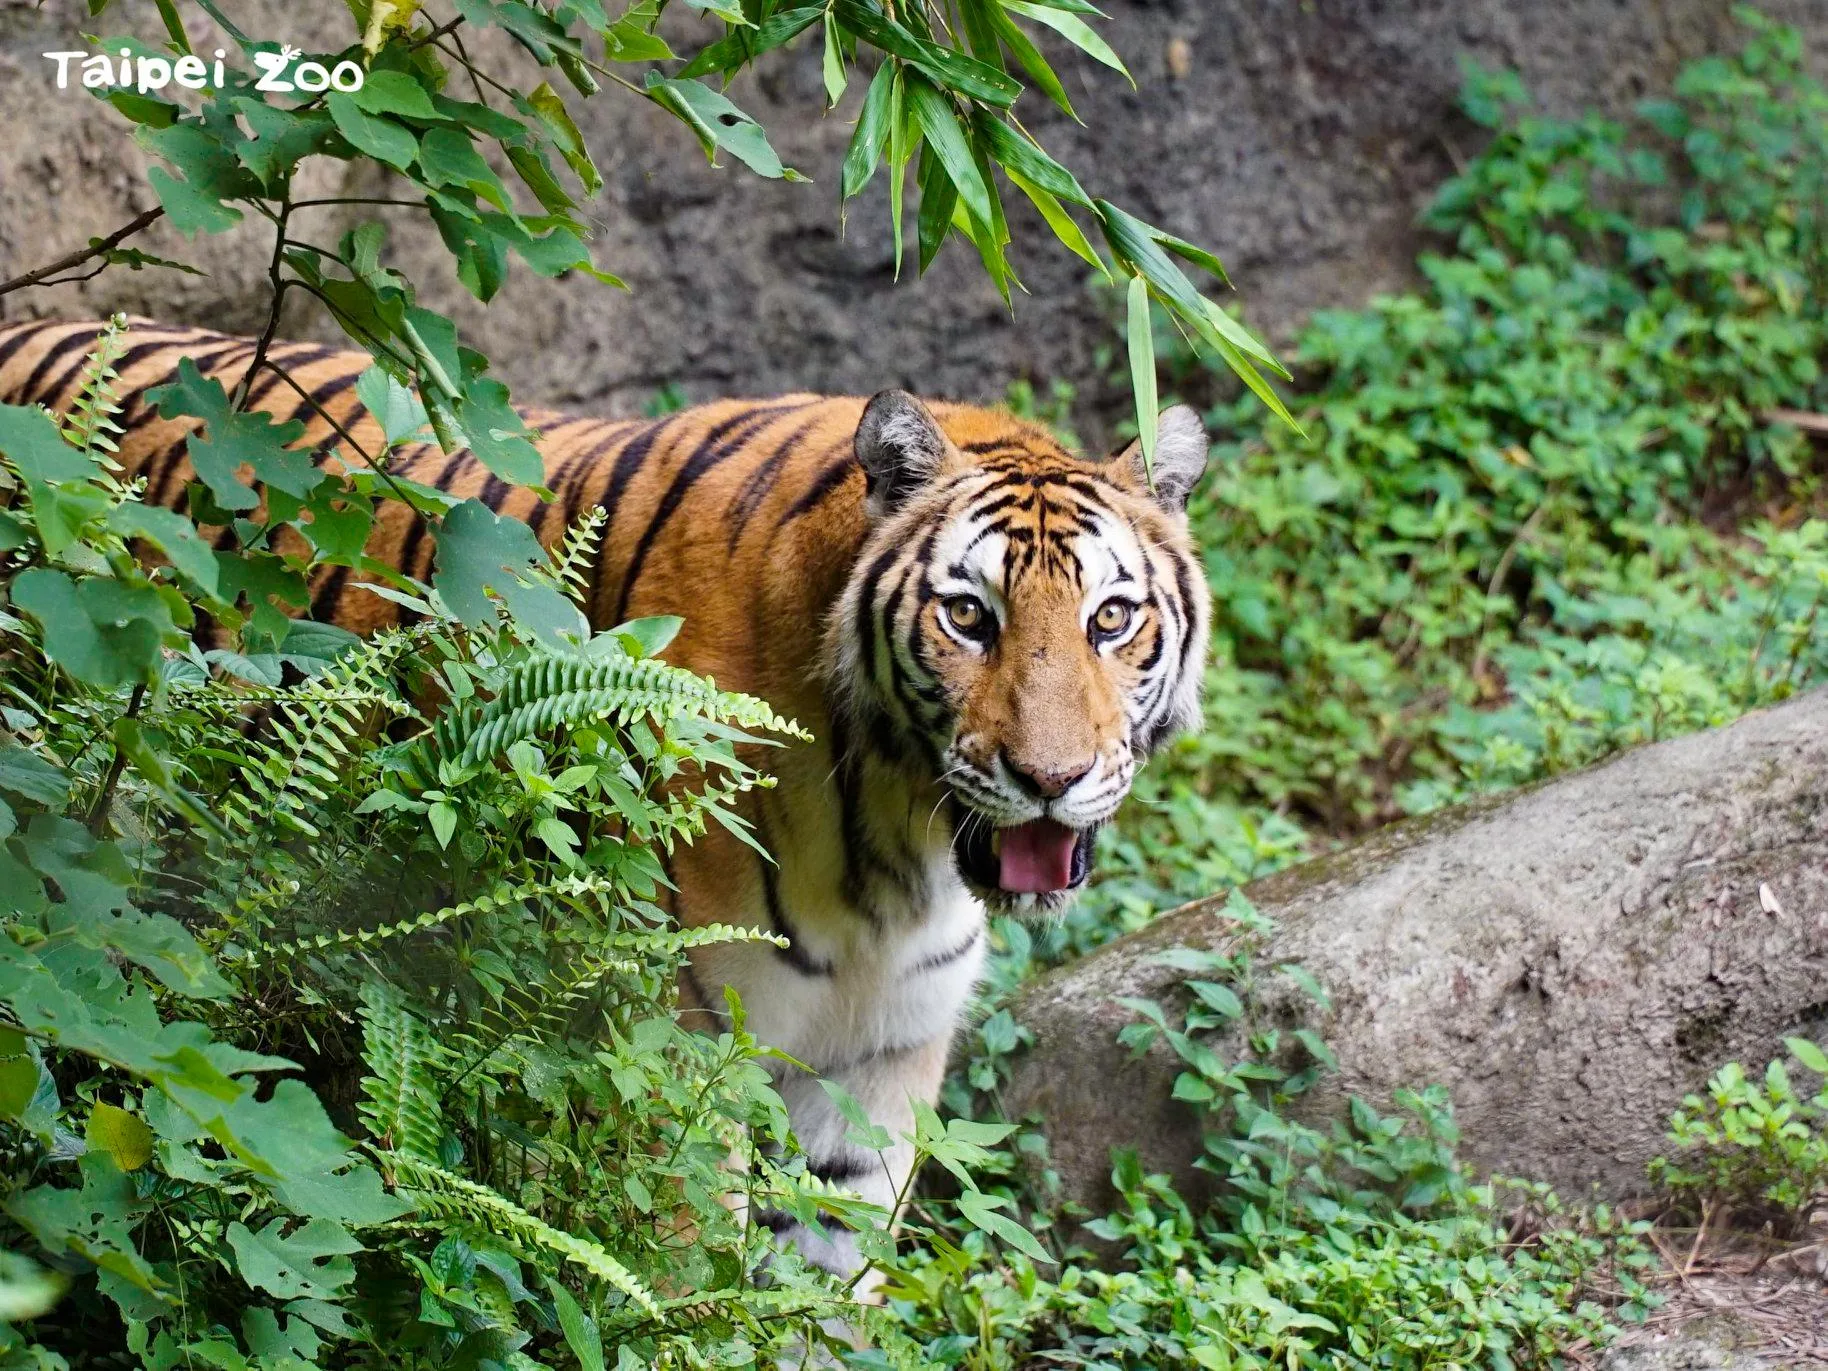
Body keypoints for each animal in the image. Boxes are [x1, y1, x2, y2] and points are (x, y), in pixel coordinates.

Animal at [0, 317, 1213, 1281]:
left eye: (1110, 619)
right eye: (970, 617)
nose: (1049, 781)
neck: (899, 844)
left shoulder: (882, 1060)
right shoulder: (667, 1036)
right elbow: (676, 1276)